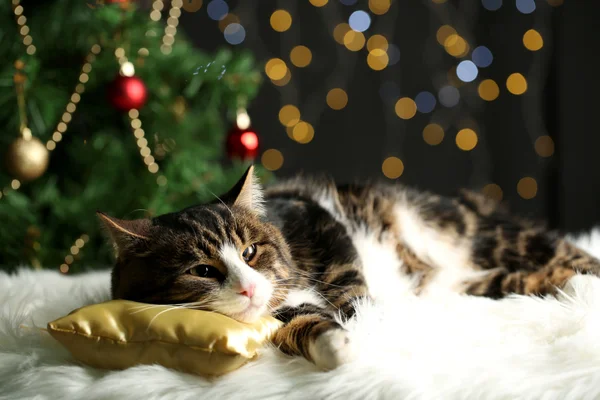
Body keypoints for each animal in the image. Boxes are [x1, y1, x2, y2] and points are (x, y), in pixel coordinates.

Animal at [97, 165, 600, 368]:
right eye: (201, 271)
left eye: (250, 252)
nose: (248, 288)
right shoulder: (279, 312)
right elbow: (300, 323)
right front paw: (337, 343)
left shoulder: (320, 221)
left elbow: (347, 282)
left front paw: (365, 319)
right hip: (467, 283)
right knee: (519, 279)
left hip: (484, 236)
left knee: (566, 254)